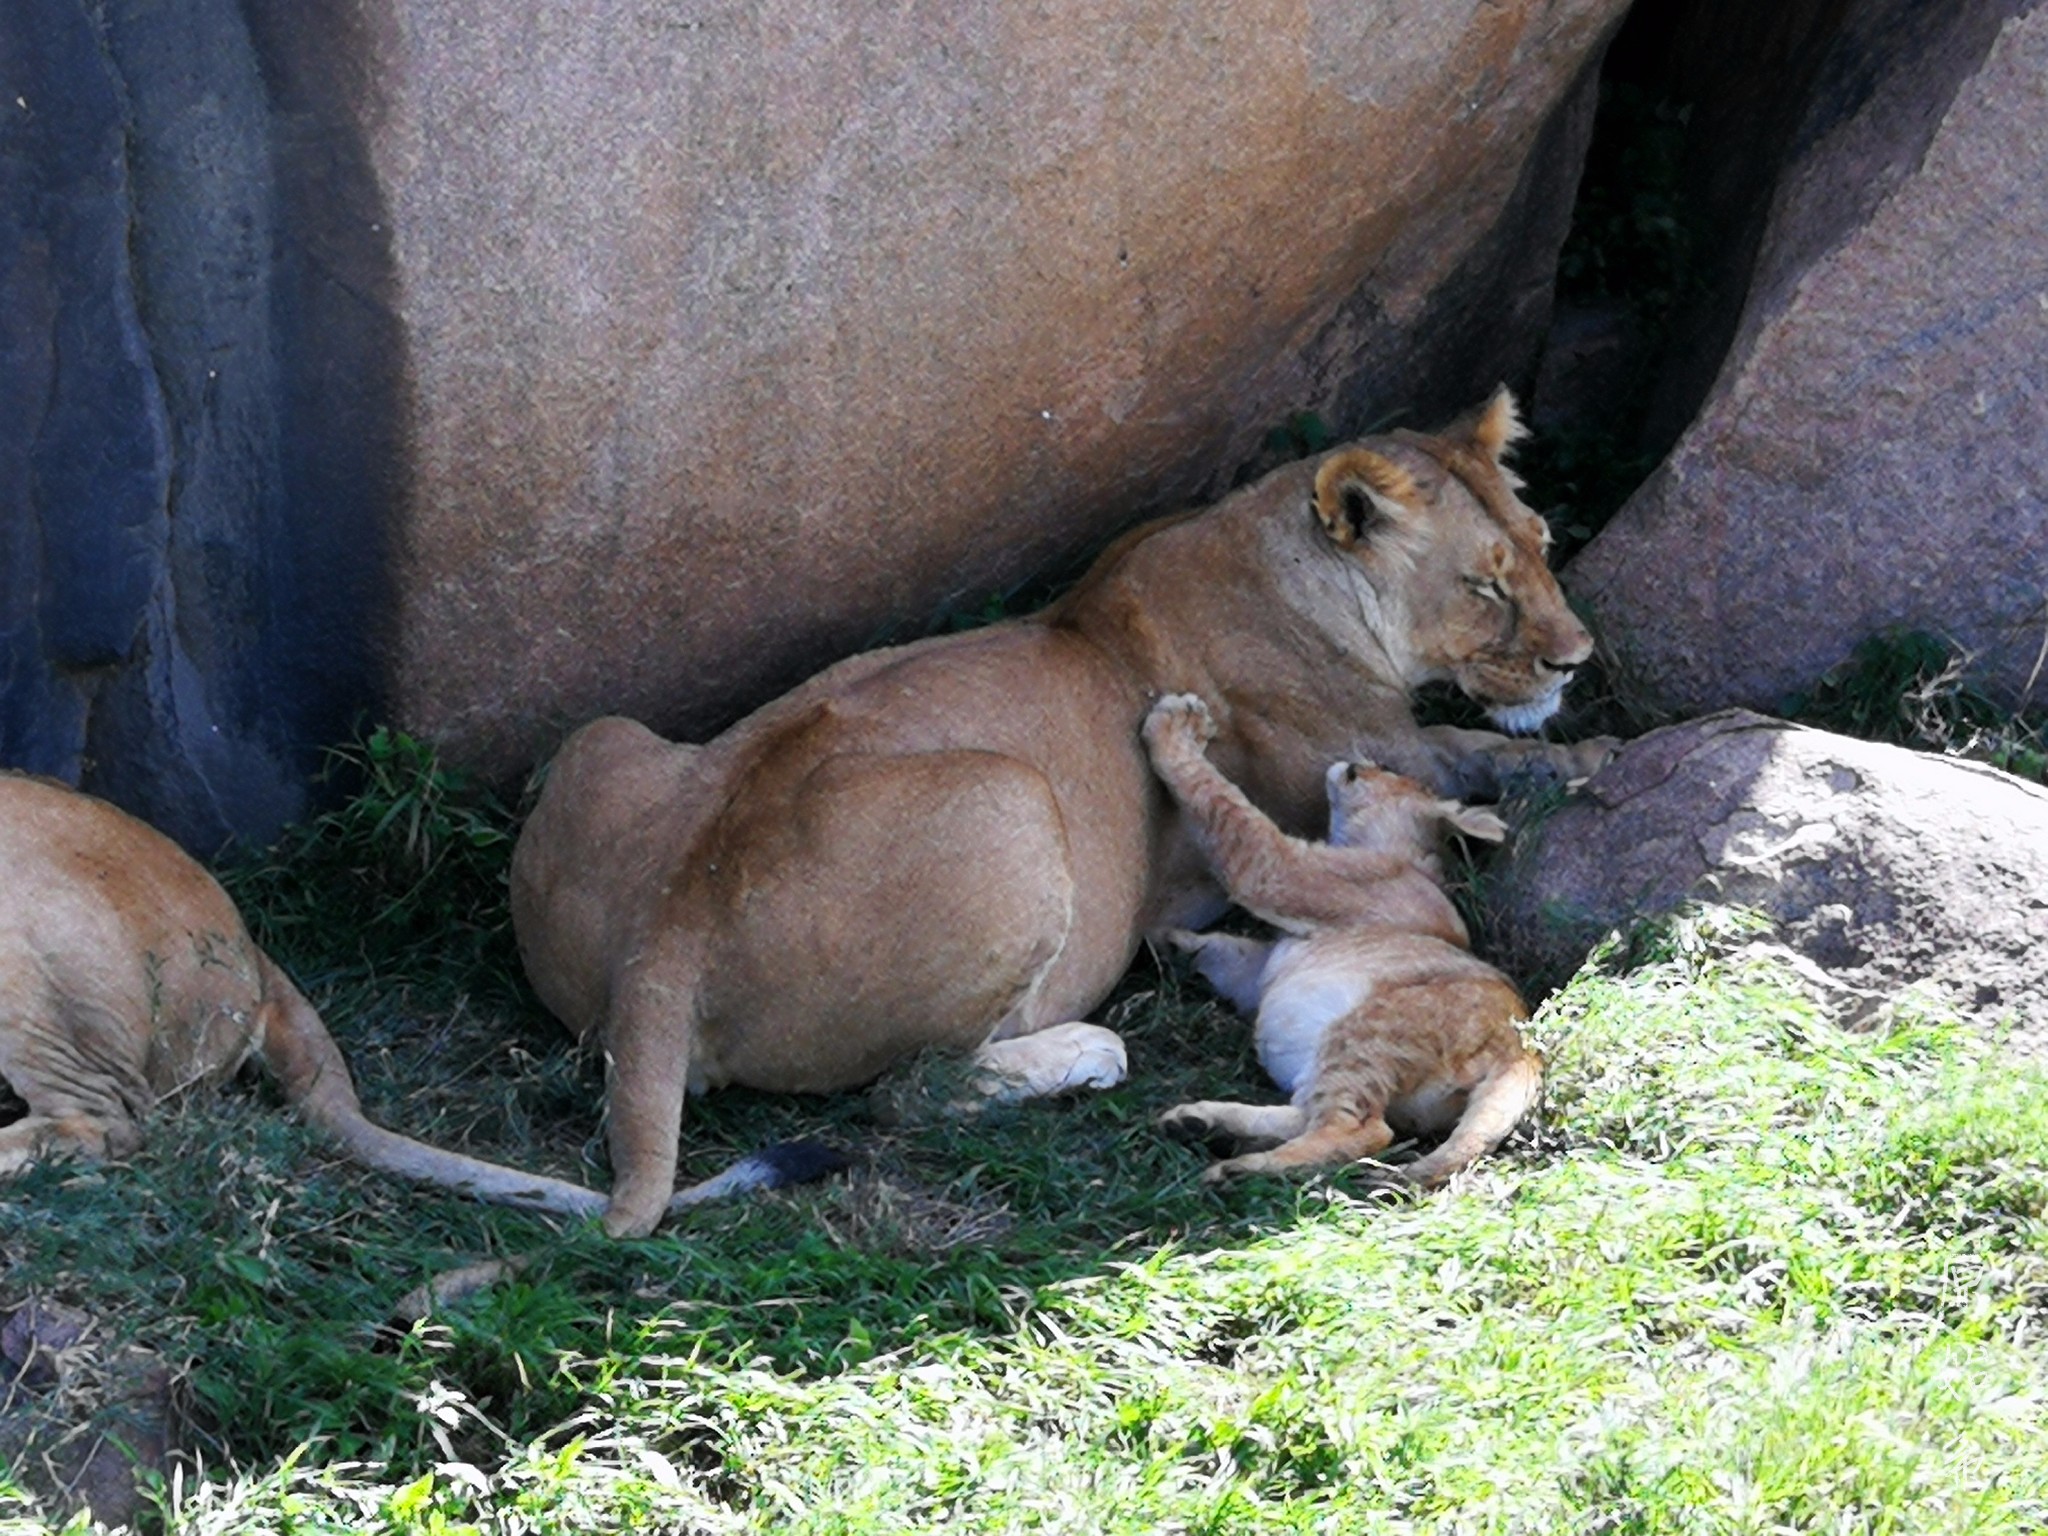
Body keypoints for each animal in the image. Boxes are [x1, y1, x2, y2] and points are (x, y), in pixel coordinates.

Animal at [1146, 696, 1540, 1187]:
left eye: (1388, 768)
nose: (1359, 762)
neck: (1398, 853)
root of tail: (1522, 1051)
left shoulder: (1280, 871)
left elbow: (1226, 806)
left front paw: (1175, 725)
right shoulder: (1261, 968)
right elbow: (1224, 949)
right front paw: (1167, 940)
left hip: (1369, 1031)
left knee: (1361, 1131)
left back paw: (1240, 1168)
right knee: (1310, 1115)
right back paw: (1202, 1124)